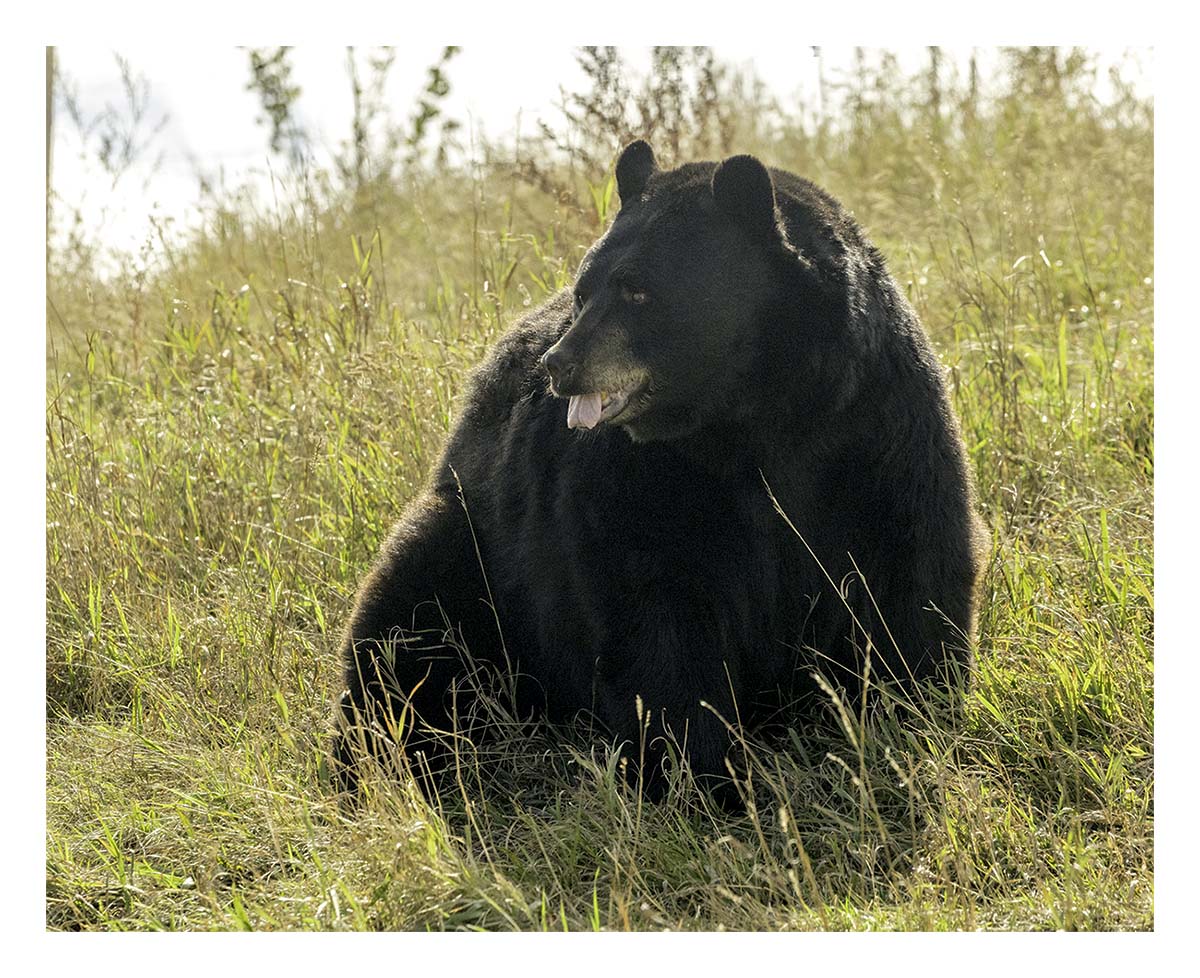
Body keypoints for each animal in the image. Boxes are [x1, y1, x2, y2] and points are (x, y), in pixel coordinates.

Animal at [332, 139, 988, 801]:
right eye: (583, 290)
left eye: (638, 291)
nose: (558, 363)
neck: (754, 418)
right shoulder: (633, 476)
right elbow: (656, 614)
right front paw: (701, 777)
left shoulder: (879, 429)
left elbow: (910, 574)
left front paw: (910, 721)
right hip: (475, 545)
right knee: (405, 629)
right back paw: (384, 756)